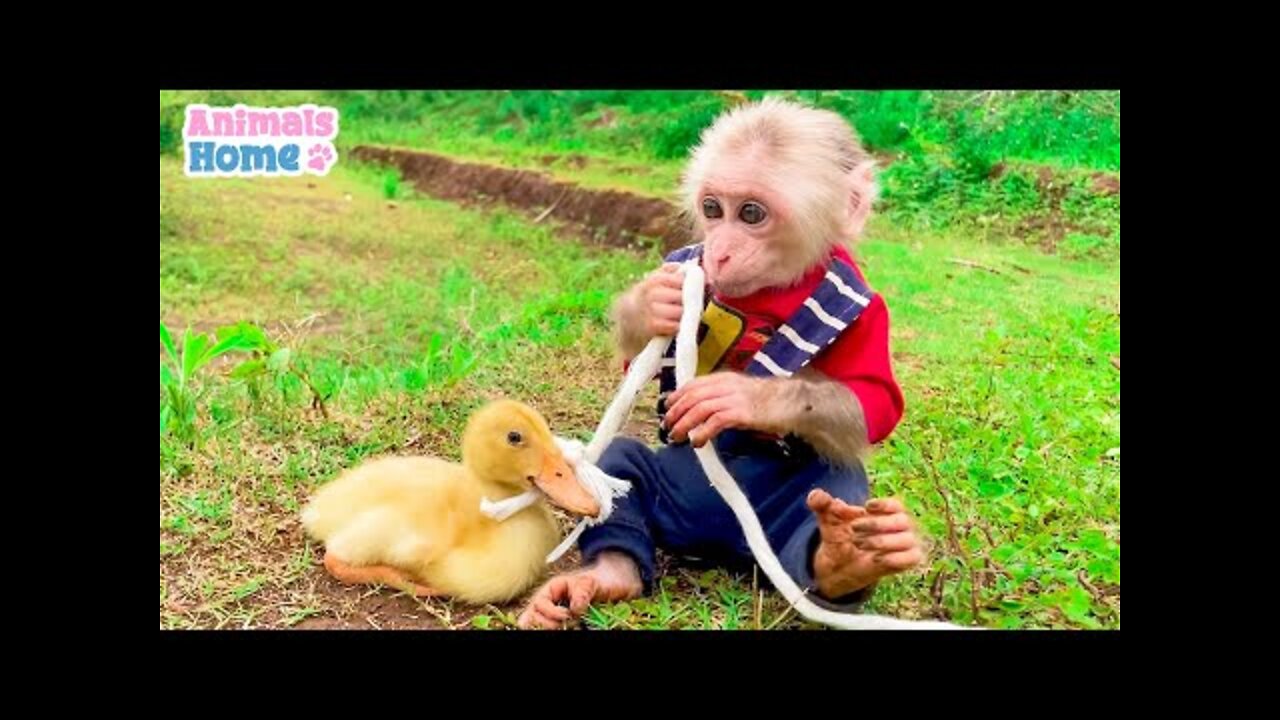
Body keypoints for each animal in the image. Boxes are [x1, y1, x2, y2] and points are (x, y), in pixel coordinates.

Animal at [514, 96, 926, 627]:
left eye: (750, 213)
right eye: (713, 209)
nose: (718, 252)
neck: (768, 292)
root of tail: (711, 545)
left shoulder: (867, 308)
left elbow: (876, 400)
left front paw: (739, 396)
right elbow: (638, 366)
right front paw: (652, 303)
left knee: (837, 479)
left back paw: (848, 558)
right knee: (623, 464)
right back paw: (602, 575)